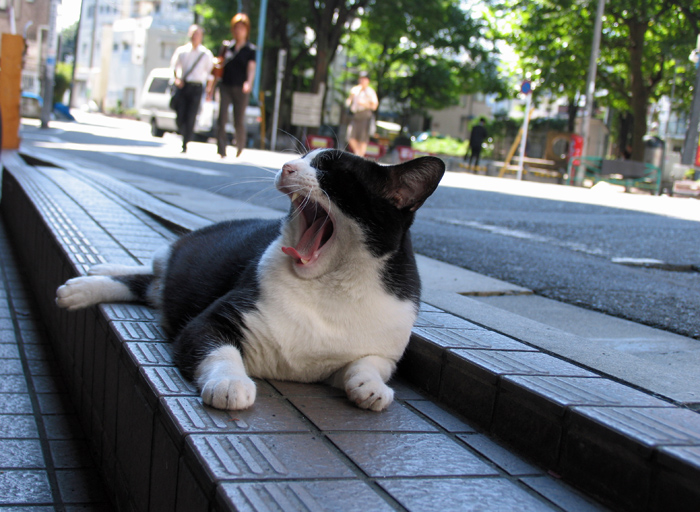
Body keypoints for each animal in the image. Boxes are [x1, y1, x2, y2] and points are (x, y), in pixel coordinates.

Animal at [57, 149, 446, 412]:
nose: (287, 166)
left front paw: (370, 387)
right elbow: (220, 350)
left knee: (148, 286)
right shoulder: (216, 318)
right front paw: (230, 383)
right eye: (302, 157)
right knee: (144, 279)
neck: (329, 288)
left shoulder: (384, 349)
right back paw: (83, 285)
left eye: (329, 169)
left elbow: (370, 363)